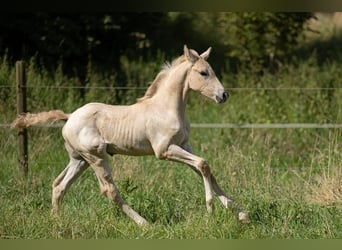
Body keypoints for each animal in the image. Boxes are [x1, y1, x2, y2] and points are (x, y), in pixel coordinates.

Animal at [12, 46, 248, 226]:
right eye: (203, 73)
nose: (223, 95)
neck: (166, 108)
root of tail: (69, 117)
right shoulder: (164, 150)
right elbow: (203, 164)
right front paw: (211, 210)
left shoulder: (184, 145)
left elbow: (205, 170)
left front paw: (240, 214)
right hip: (96, 157)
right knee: (110, 191)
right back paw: (144, 223)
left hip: (79, 160)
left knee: (59, 185)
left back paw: (56, 221)